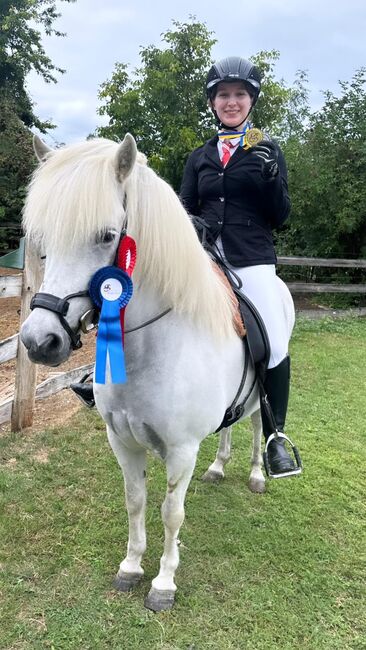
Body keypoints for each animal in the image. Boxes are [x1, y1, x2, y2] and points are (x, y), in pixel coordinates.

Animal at [20, 134, 294, 612]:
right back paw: (219, 467)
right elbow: (135, 501)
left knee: (260, 423)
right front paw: (131, 567)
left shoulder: (181, 450)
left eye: (106, 236)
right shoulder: (122, 440)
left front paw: (164, 583)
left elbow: (171, 512)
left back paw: (260, 472)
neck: (150, 348)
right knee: (231, 424)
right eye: (42, 238)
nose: (39, 342)